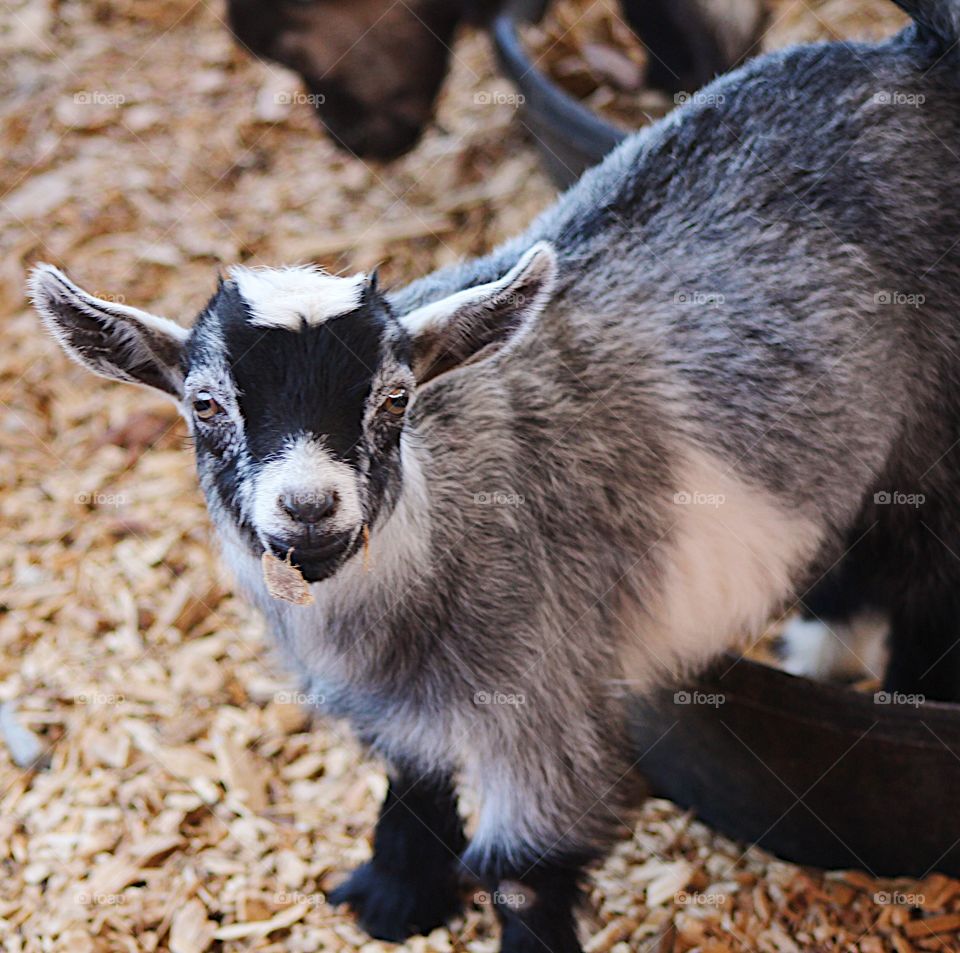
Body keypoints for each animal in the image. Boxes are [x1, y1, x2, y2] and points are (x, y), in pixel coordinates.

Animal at [30, 1, 960, 948]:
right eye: (206, 405)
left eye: (395, 398)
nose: (309, 506)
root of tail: (921, 51)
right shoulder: (403, 706)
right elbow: (413, 773)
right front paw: (395, 894)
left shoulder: (543, 693)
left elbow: (522, 869)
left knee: (930, 573)